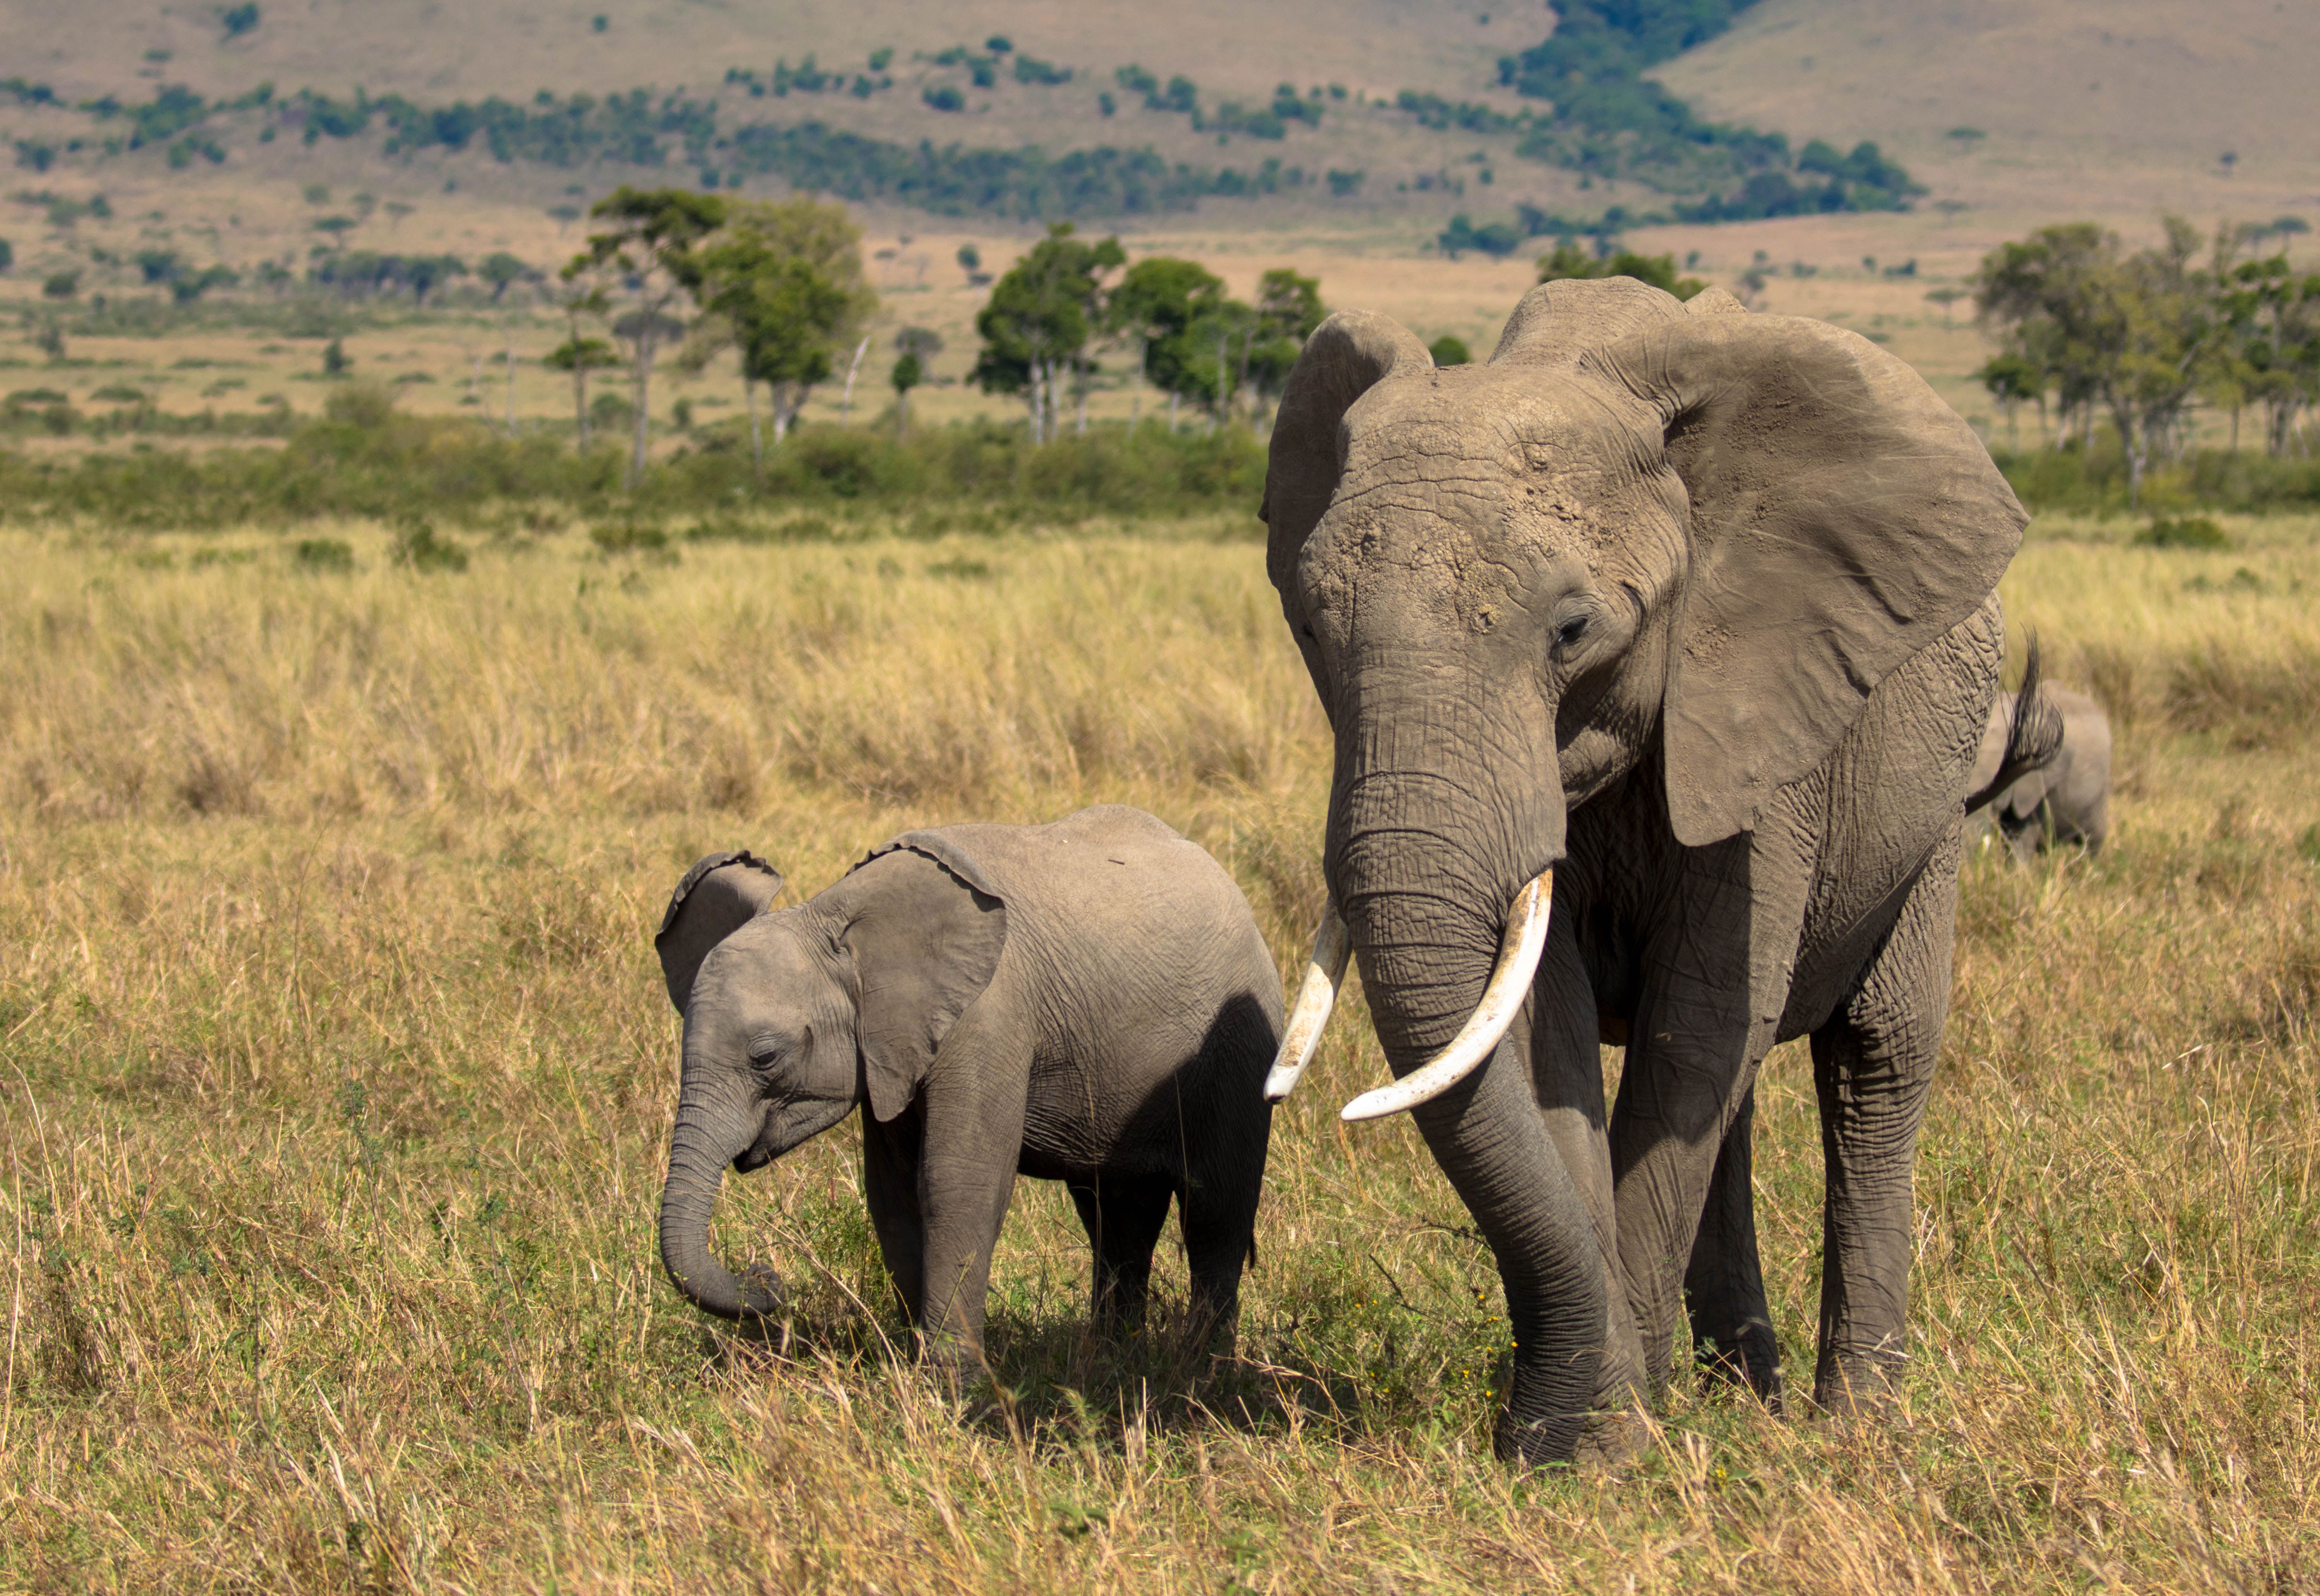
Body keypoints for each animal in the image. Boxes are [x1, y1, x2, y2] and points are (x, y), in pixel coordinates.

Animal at [652, 805, 1283, 1373]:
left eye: (765, 1057)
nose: (768, 1280)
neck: (840, 917)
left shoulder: (987, 1019)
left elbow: (956, 1181)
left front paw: (954, 1386)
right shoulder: (891, 1049)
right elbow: (892, 1191)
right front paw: (913, 1371)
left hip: (1239, 1049)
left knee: (1214, 1211)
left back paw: (1201, 1372)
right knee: (1118, 1221)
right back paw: (1111, 1363)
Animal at [1255, 276, 2045, 1464]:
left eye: (1572, 630)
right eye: (1307, 626)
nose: (1528, 1422)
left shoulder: (1764, 722)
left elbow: (1695, 1025)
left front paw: (1603, 1448)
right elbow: (1551, 1036)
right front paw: (1582, 1436)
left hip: (1932, 807)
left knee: (1873, 1062)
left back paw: (1852, 1432)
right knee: (1740, 1096)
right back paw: (1746, 1393)